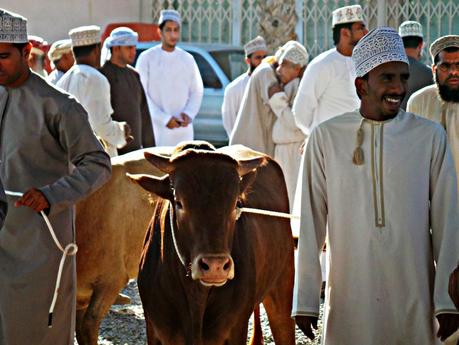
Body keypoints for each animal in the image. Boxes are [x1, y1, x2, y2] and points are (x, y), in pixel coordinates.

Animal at [130, 144, 294, 344]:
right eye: (179, 202)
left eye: (235, 203)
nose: (215, 266)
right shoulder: (154, 330)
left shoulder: (235, 329)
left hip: (282, 293)